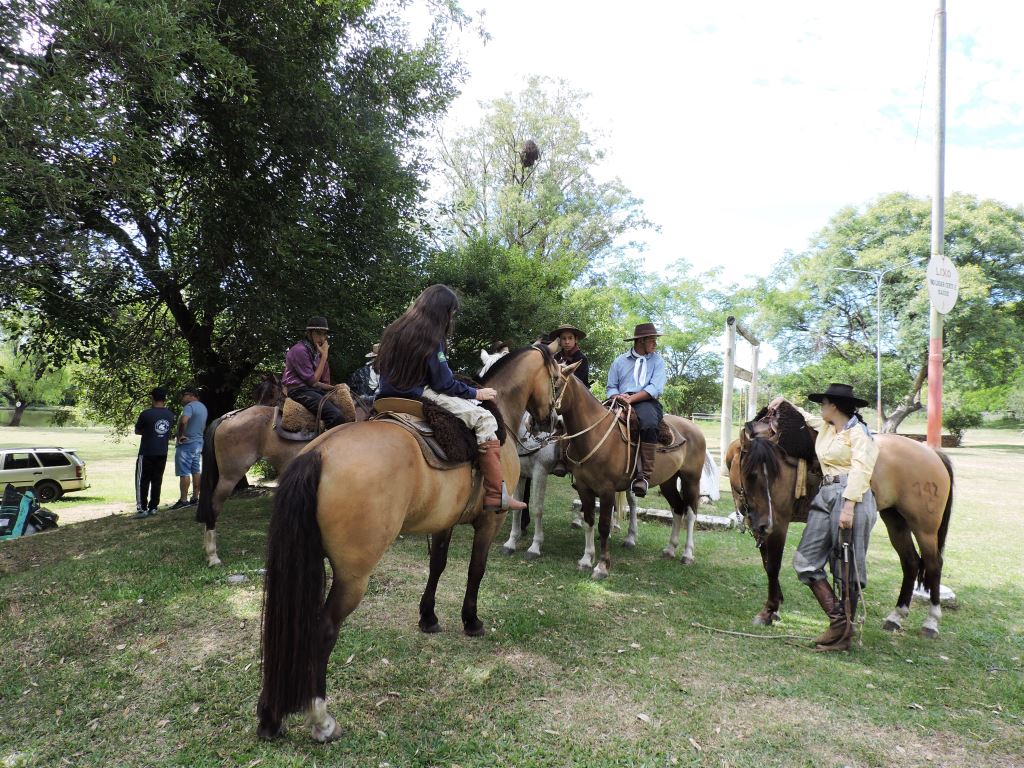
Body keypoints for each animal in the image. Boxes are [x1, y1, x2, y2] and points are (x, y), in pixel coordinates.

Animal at [256, 342, 561, 745]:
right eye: (557, 377)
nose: (551, 422)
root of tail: (318, 453)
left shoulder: (444, 521)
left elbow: (438, 566)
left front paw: (428, 616)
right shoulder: (489, 522)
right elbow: (476, 571)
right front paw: (471, 620)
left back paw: (270, 716)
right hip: (353, 577)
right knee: (322, 630)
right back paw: (321, 720)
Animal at [552, 364, 704, 581]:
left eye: (556, 385)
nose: (553, 421)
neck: (595, 435)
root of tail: (693, 428)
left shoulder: (606, 490)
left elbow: (604, 525)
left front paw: (602, 566)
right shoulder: (583, 488)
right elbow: (589, 521)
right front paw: (586, 559)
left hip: (691, 479)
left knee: (691, 513)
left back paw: (687, 554)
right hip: (668, 481)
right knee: (678, 508)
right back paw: (669, 549)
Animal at [729, 411, 950, 638]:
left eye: (774, 474)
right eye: (751, 475)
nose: (766, 523)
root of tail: (932, 454)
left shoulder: (778, 523)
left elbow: (773, 566)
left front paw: (768, 611)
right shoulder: (760, 524)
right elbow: (766, 563)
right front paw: (775, 608)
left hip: (924, 529)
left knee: (933, 564)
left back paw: (931, 621)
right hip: (896, 521)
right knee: (911, 562)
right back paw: (896, 616)